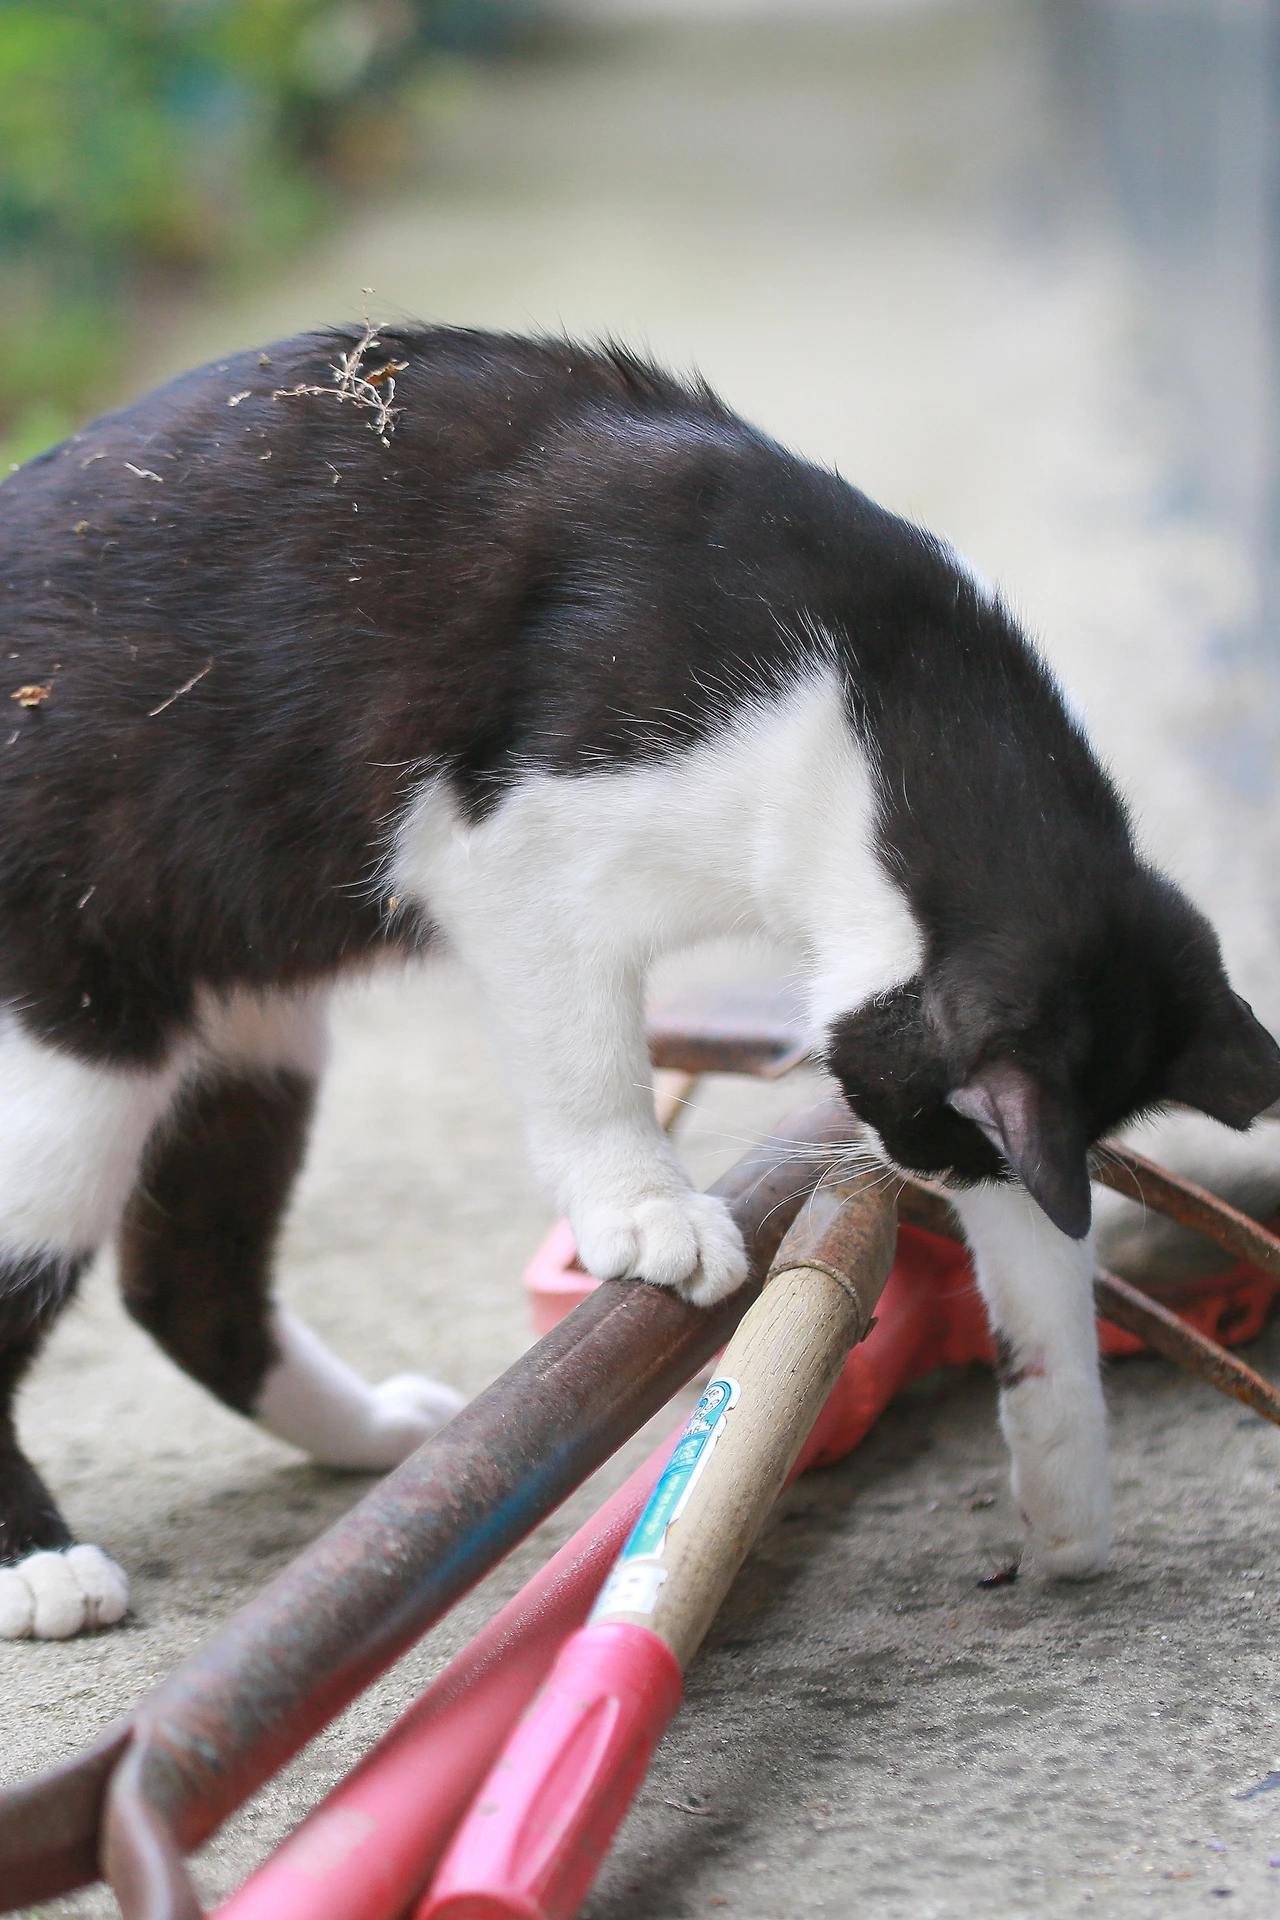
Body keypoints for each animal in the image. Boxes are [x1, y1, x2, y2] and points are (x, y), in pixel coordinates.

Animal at [0, 322, 1275, 1638]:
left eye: (949, 1149)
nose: (915, 1171)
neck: (878, 683)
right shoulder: (513, 849)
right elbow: (586, 1061)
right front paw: (644, 1209)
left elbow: (1046, 1260)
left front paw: (1066, 1477)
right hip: (76, 1028)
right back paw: (43, 1565)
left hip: (251, 1025)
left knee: (186, 1282)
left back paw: (364, 1432)